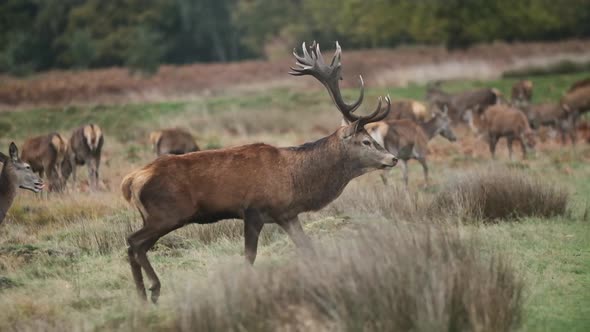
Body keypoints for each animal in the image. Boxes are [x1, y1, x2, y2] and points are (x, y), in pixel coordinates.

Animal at [120, 41, 398, 304]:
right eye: (366, 141)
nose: (393, 158)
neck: (295, 180)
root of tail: (131, 180)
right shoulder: (253, 209)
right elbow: (249, 256)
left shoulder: (287, 214)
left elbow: (308, 248)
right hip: (167, 214)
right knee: (133, 241)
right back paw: (154, 288)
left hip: (154, 216)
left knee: (135, 246)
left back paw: (142, 295)